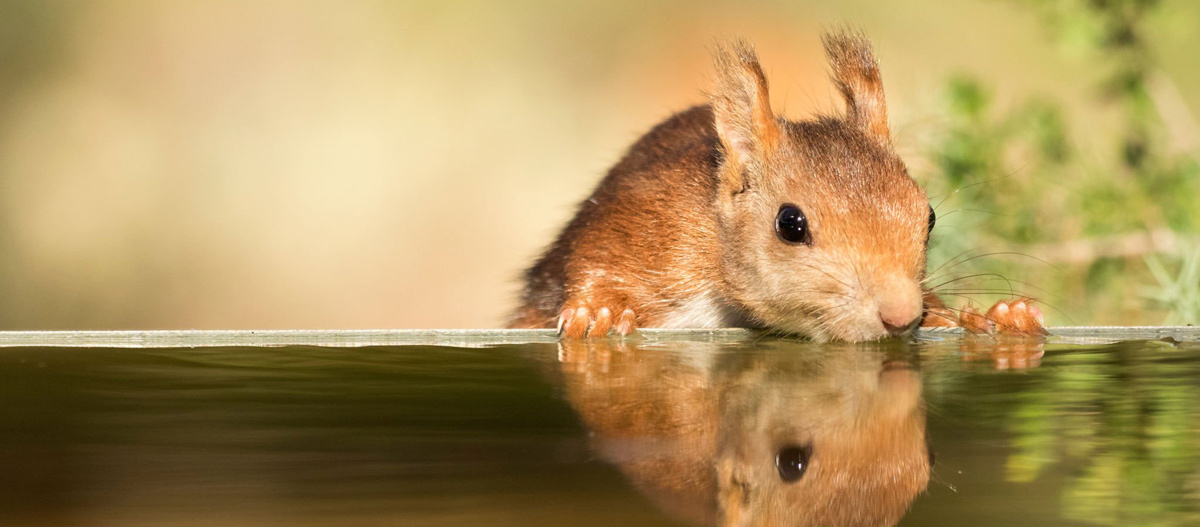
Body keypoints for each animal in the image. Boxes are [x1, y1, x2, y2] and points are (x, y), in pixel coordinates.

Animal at [510, 31, 1046, 341]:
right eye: (791, 225)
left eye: (929, 216)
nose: (900, 316)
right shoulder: (650, 224)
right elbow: (596, 260)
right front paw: (598, 311)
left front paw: (997, 316)